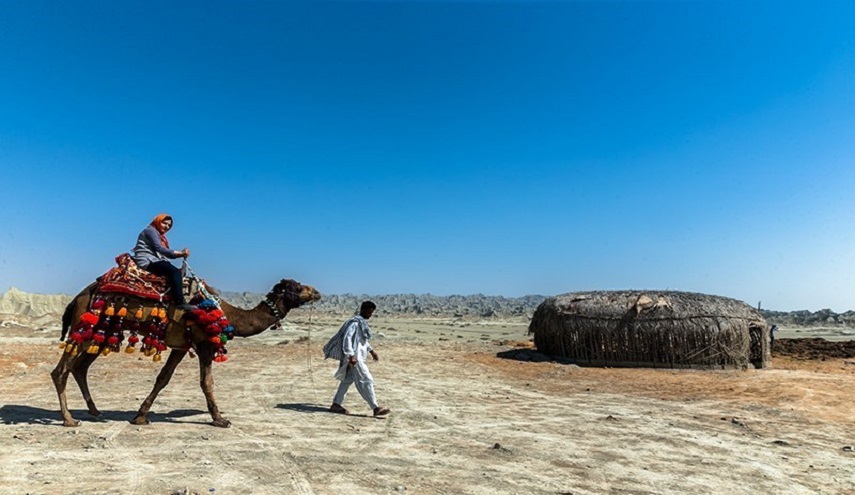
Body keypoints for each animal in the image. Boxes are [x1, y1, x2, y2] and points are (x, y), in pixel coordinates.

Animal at [51, 278, 321, 428]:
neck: (228, 315)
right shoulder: (205, 345)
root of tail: (76, 298)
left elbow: (163, 379)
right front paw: (220, 420)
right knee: (61, 370)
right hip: (85, 325)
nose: (317, 292)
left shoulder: (181, 347)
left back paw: (95, 411)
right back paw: (69, 420)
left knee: (80, 367)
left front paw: (140, 416)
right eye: (297, 287)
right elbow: (207, 382)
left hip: (101, 333)